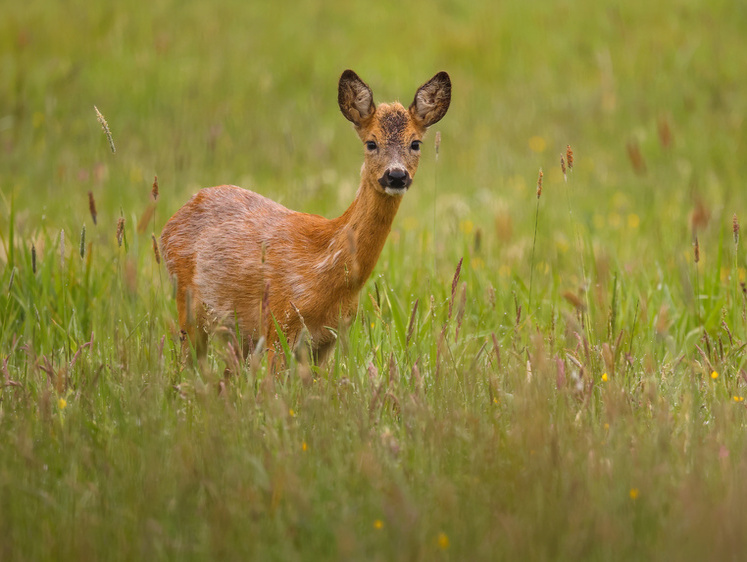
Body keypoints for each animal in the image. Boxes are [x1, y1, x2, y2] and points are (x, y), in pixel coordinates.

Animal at [161, 68, 450, 366]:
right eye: (371, 143)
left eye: (415, 143)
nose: (396, 175)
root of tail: (172, 220)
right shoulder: (278, 325)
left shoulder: (329, 339)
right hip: (188, 304)